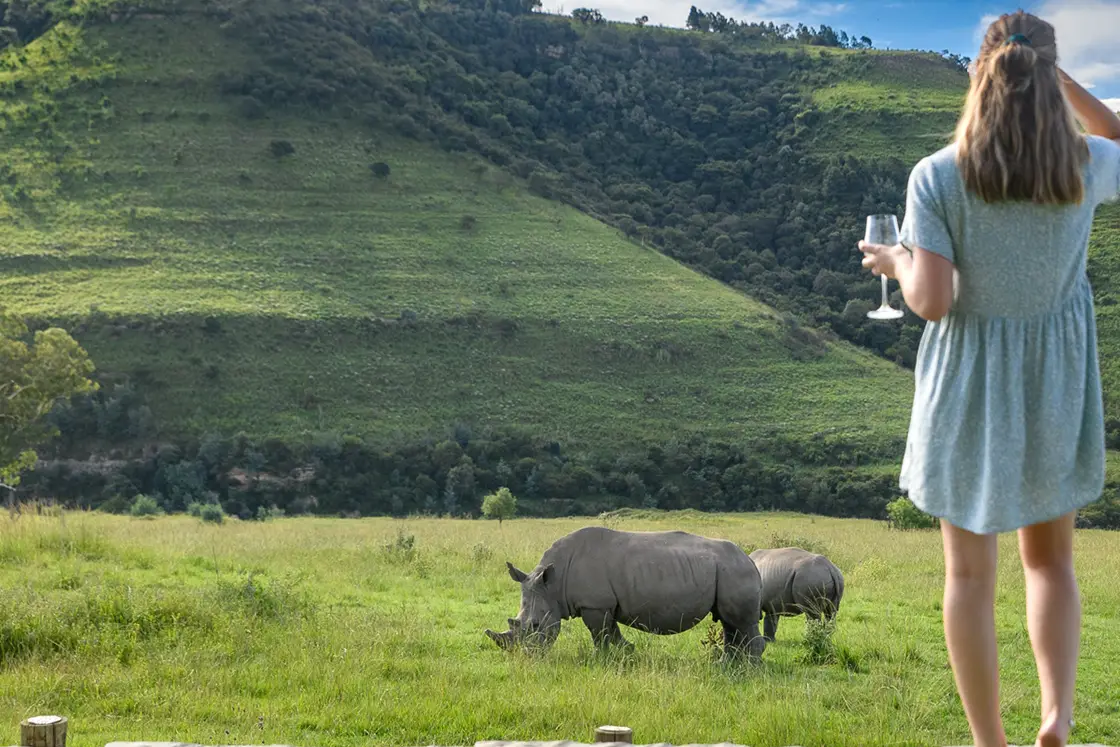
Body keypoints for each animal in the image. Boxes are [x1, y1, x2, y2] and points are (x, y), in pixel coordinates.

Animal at [486, 526, 766, 658]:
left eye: (535, 626)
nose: (527, 655)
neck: (552, 585)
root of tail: (750, 560)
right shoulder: (605, 604)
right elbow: (612, 631)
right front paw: (628, 652)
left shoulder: (594, 605)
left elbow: (600, 635)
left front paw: (600, 659)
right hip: (728, 571)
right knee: (730, 623)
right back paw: (729, 664)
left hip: (734, 571)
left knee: (739, 622)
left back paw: (747, 668)